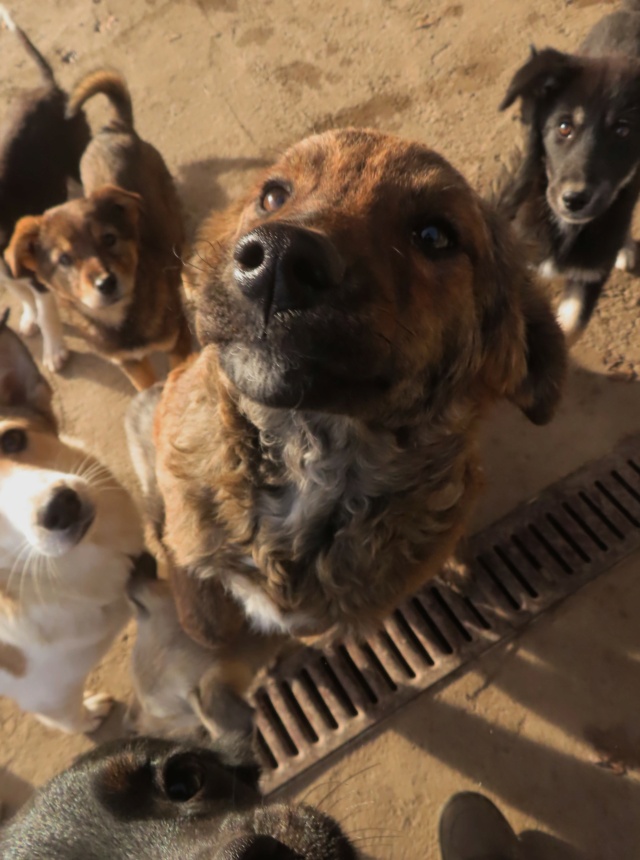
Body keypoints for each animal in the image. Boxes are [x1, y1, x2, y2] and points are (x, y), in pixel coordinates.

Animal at [5, 71, 190, 394]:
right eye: (64, 259)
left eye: (109, 239)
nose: (106, 283)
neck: (122, 320)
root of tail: (113, 128)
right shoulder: (129, 362)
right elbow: (147, 388)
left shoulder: (177, 341)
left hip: (171, 217)